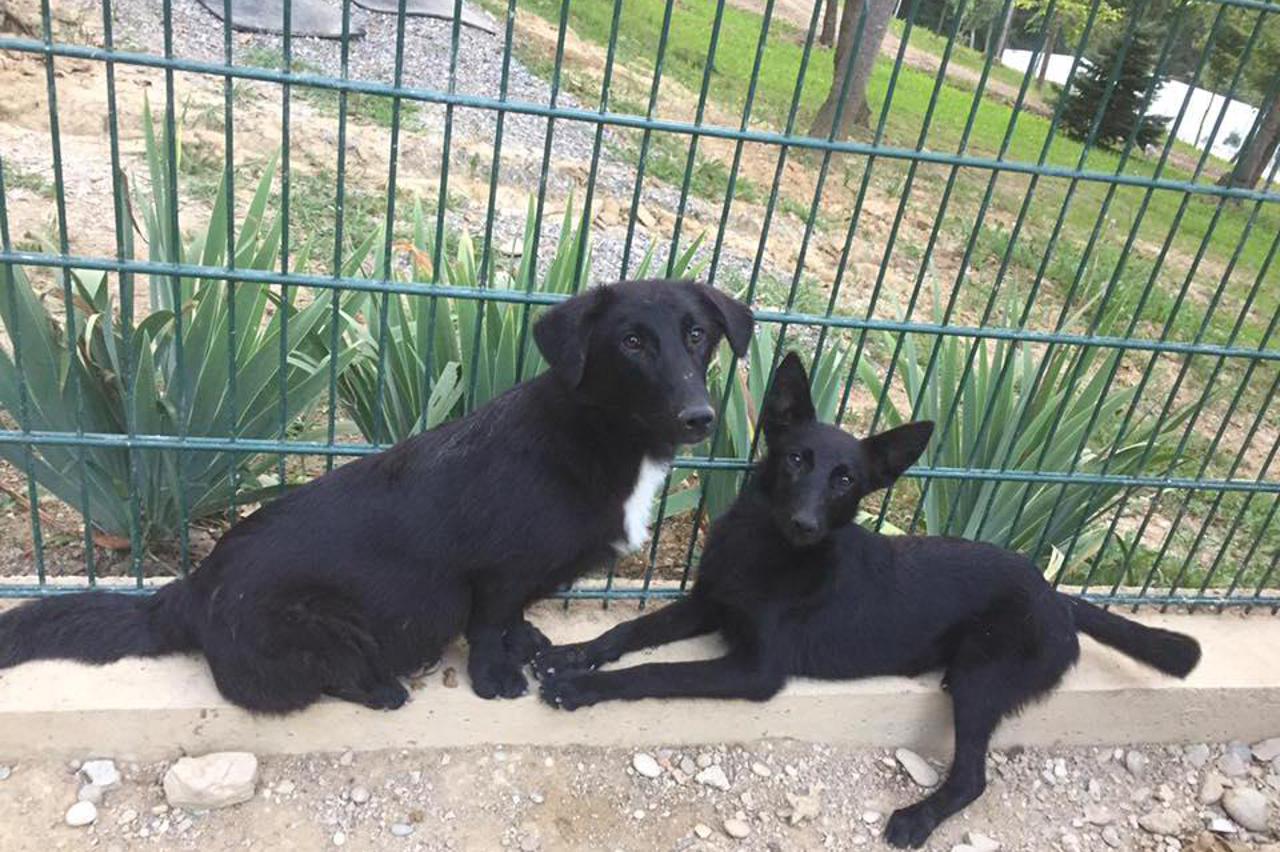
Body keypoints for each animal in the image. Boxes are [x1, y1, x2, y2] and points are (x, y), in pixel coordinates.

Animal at [0, 278, 752, 713]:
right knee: (318, 683)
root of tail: (187, 591)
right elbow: (488, 626)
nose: (700, 417)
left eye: (697, 335)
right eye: (632, 342)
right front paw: (494, 678)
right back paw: (382, 688)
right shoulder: (496, 571)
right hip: (323, 626)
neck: (596, 433)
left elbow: (513, 619)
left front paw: (530, 642)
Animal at [533, 351, 1201, 848]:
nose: (804, 524)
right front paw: (573, 655)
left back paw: (916, 819)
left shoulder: (754, 671)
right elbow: (626, 634)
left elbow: (655, 670)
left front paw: (582, 687)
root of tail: (1053, 593)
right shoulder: (708, 605)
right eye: (796, 458)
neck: (766, 550)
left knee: (972, 778)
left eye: (846, 480)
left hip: (980, 675)